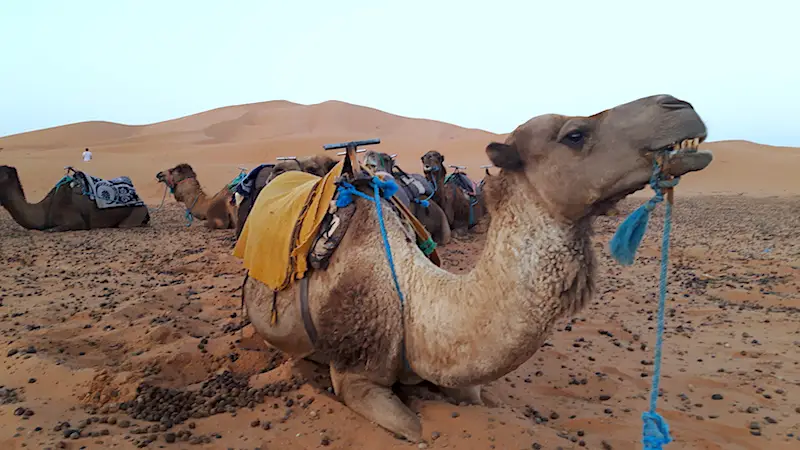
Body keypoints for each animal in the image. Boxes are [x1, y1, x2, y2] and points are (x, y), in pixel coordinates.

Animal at [238, 93, 712, 442]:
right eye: (574, 135)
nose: (678, 105)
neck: (413, 302)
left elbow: (473, 398)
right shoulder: (356, 376)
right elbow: (416, 430)